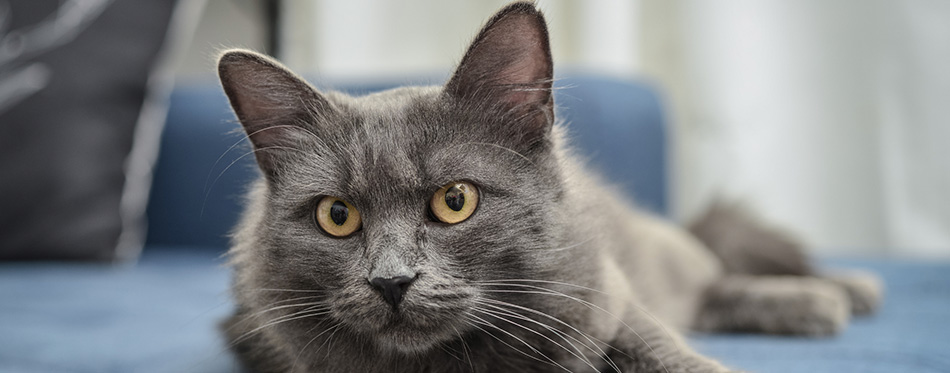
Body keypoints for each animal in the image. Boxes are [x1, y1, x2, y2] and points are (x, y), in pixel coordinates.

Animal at [216, 3, 884, 372]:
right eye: (337, 216)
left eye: (455, 201)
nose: (391, 281)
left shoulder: (606, 297)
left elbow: (662, 348)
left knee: (711, 276)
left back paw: (839, 292)